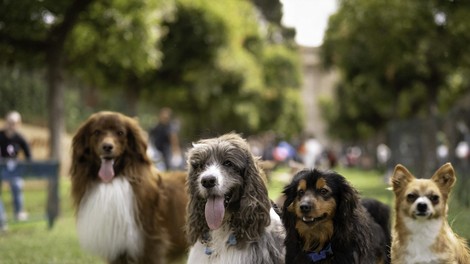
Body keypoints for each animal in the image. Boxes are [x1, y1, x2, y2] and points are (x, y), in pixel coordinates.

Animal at [70, 112, 187, 264]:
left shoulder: (150, 242)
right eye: (96, 132)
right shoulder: (117, 247)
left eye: (120, 133)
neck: (113, 180)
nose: (107, 147)